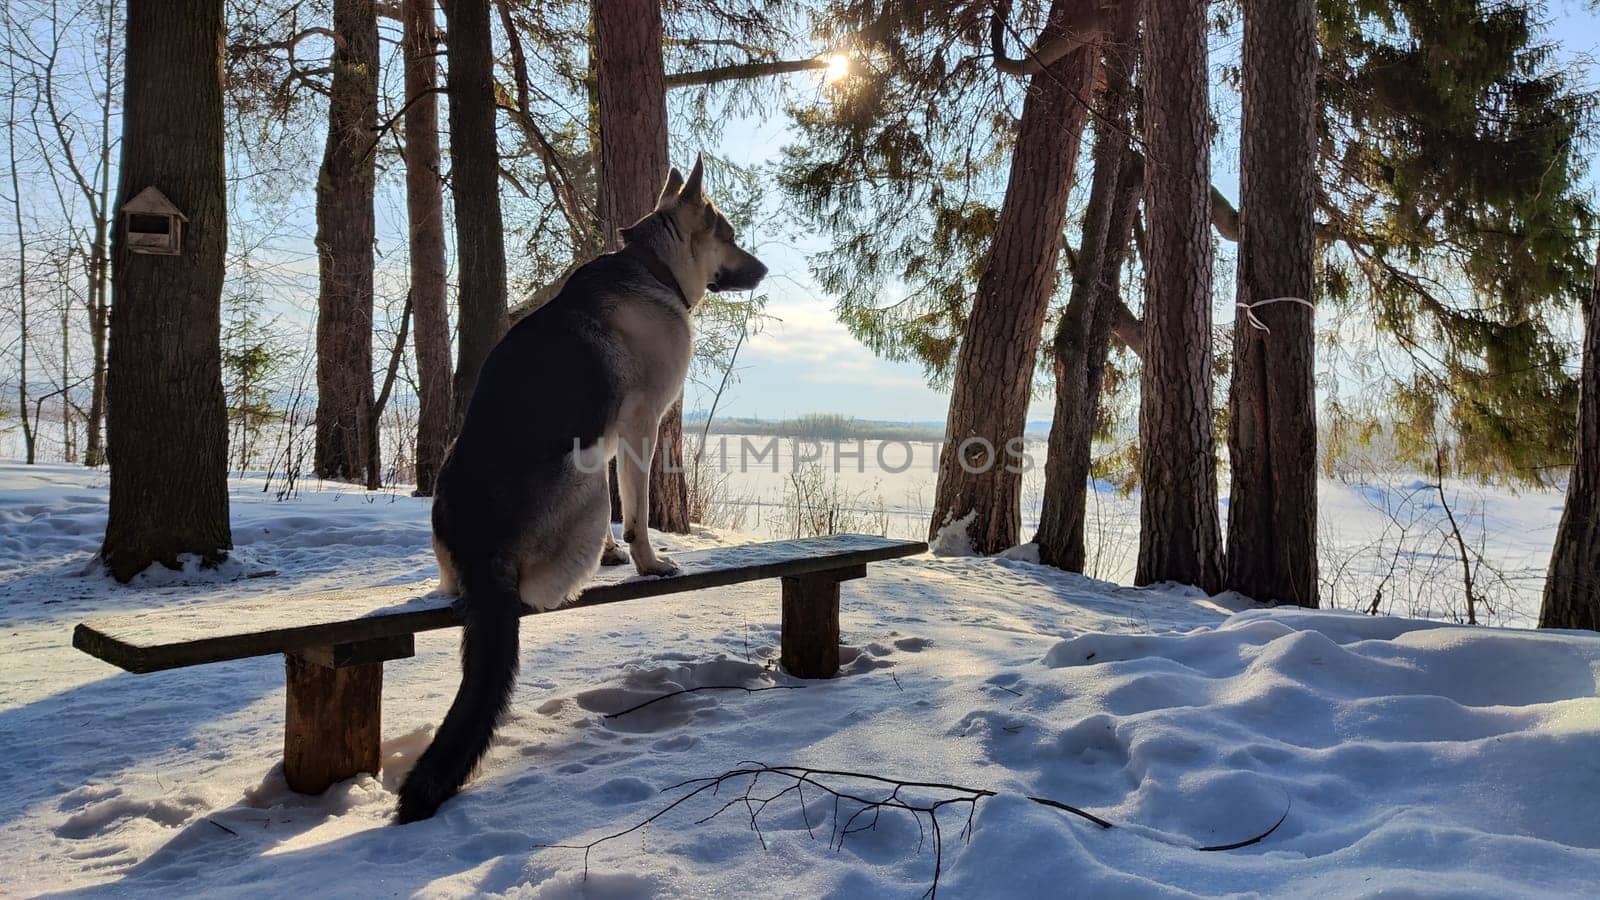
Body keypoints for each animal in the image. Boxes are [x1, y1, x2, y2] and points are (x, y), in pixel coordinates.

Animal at [403, 156, 771, 819]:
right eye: (727, 235)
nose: (764, 270)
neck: (649, 266)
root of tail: (483, 557)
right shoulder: (640, 429)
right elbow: (641, 510)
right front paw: (648, 561)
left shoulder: (611, 437)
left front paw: (613, 555)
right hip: (585, 479)